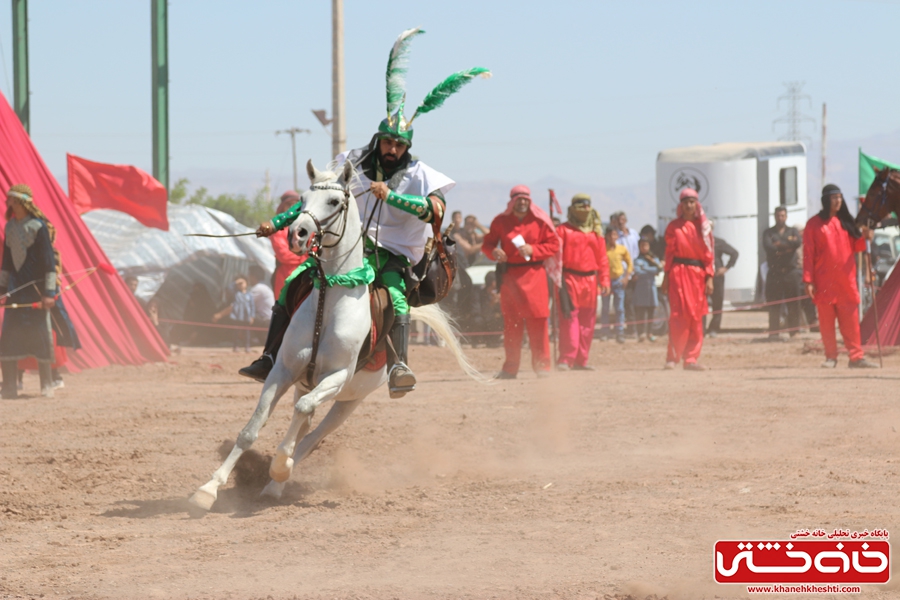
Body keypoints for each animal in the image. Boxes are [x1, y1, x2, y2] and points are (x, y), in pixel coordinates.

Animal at [190, 159, 482, 510]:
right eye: (301, 199)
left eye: (333, 201)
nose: (297, 234)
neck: (331, 296)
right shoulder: (283, 371)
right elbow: (252, 428)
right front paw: (209, 489)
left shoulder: (337, 377)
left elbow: (301, 420)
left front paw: (280, 464)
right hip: (306, 384)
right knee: (305, 424)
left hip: (347, 402)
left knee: (312, 436)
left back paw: (279, 478)